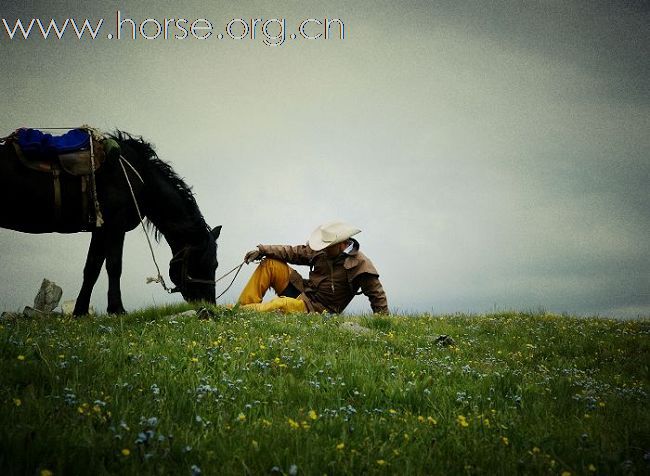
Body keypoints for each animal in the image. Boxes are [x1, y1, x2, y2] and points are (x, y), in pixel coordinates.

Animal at [0, 130, 220, 316]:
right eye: (208, 263)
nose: (209, 304)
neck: (140, 179)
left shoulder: (100, 230)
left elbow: (92, 267)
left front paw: (80, 311)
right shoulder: (115, 225)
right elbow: (114, 265)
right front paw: (117, 309)